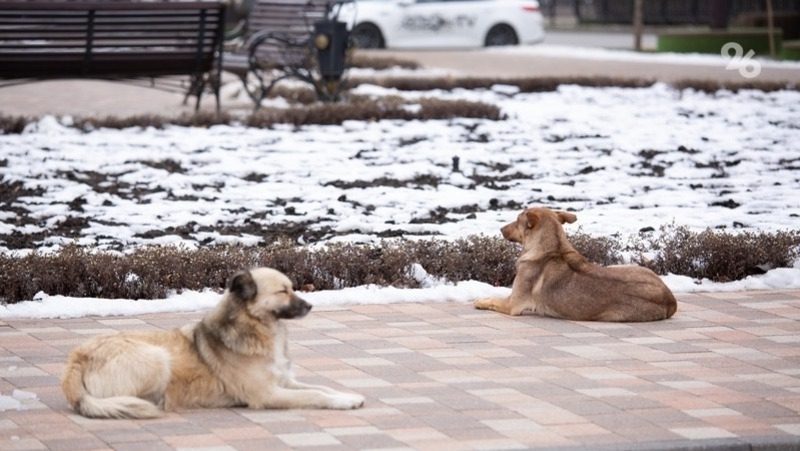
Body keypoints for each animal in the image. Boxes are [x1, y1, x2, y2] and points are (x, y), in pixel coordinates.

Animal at [62, 266, 366, 418]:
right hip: (157, 358)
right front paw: (343, 403)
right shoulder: (267, 394)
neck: (258, 329)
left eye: (292, 288)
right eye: (283, 291)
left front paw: (347, 396)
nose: (311, 305)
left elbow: (323, 388)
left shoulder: (284, 381)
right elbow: (315, 395)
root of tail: (76, 360)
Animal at [478, 208, 680, 322]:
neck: (554, 248)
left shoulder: (512, 304)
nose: (500, 229)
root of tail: (670, 299)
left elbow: (493, 299)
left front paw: (480, 301)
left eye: (517, 221)